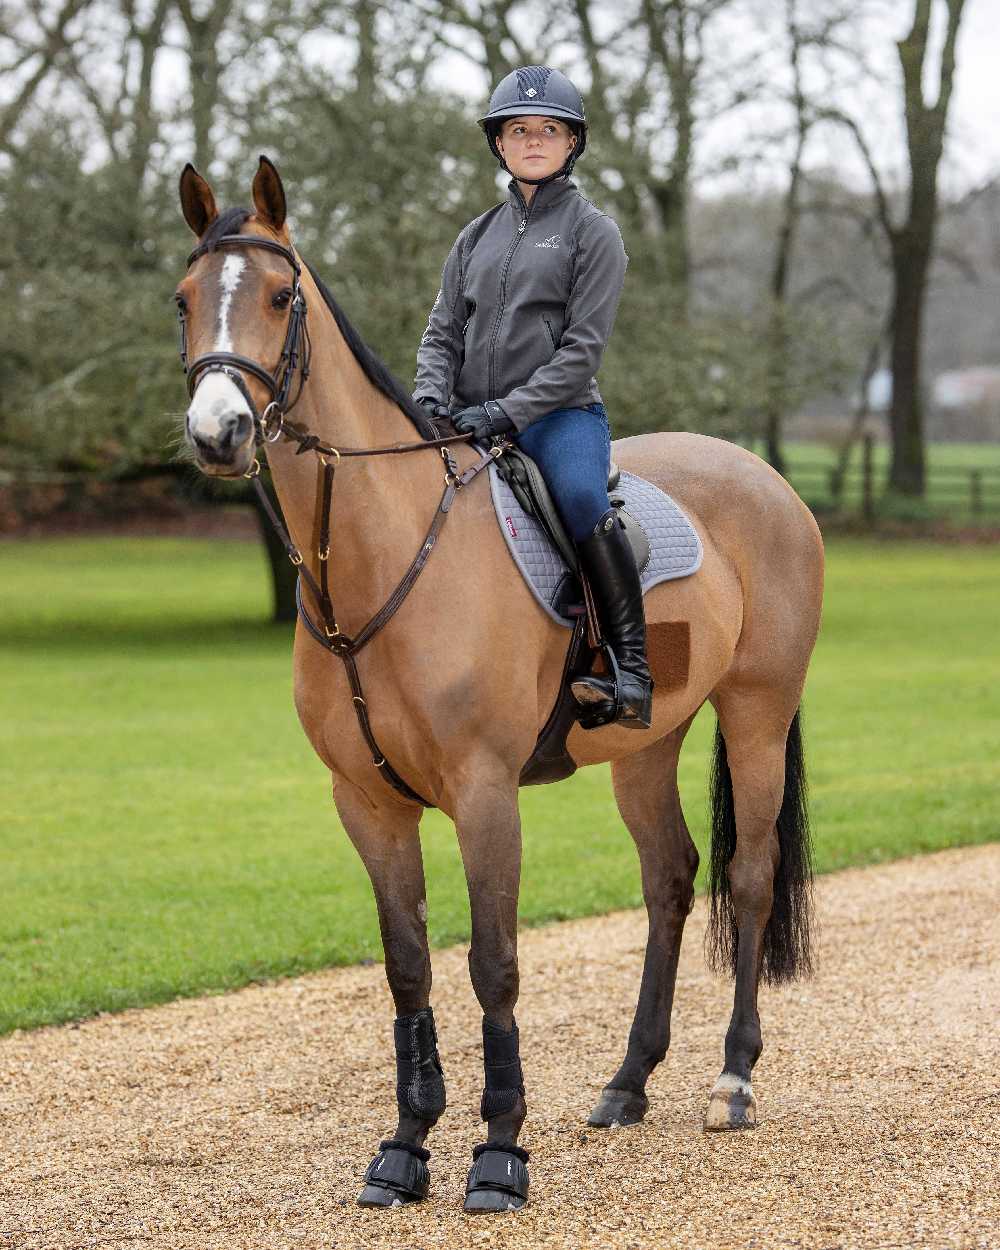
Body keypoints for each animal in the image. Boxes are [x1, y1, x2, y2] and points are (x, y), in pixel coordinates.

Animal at [176, 153, 825, 1210]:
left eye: (279, 296)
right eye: (184, 299)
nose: (219, 431)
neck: (388, 553)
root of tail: (764, 477)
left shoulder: (484, 795)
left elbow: (494, 964)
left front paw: (499, 1155)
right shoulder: (367, 803)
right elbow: (408, 968)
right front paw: (404, 1148)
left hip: (757, 718)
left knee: (751, 877)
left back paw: (731, 1081)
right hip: (646, 743)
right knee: (670, 878)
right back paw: (627, 1083)